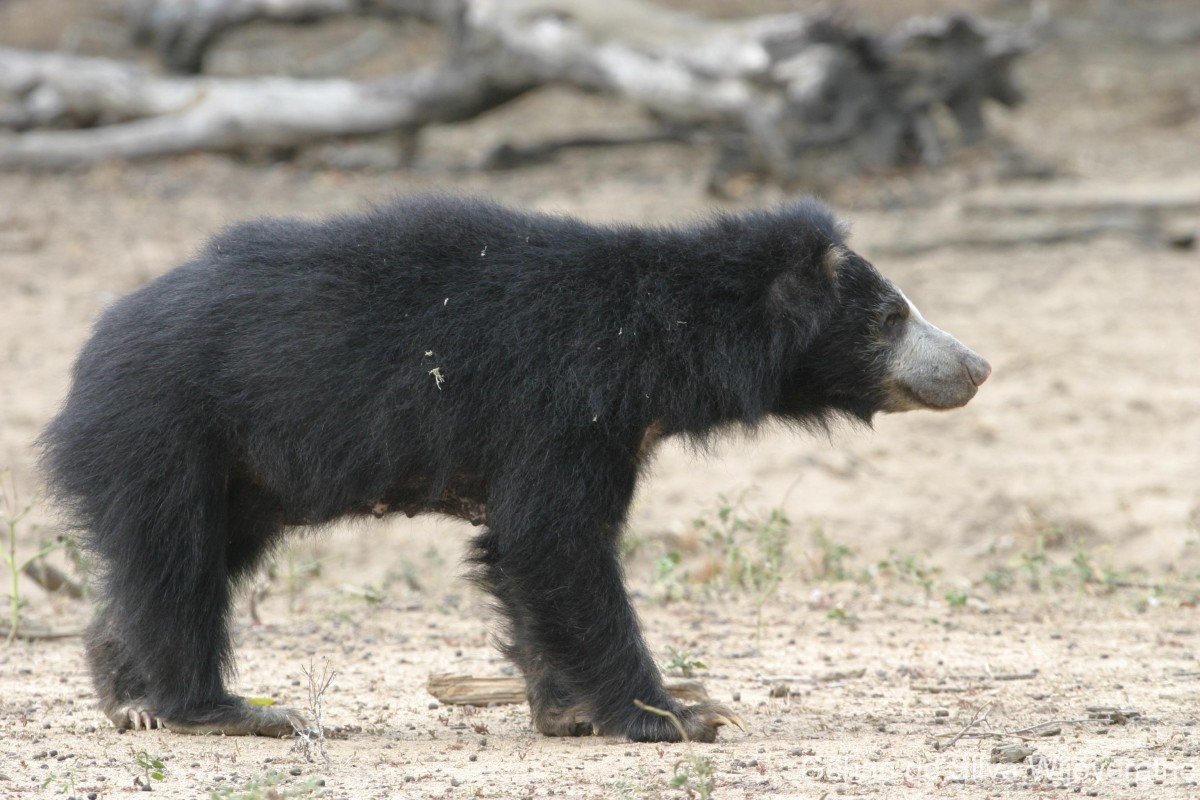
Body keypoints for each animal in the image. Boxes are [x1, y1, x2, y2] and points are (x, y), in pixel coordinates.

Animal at [42, 195, 988, 743]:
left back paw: (127, 697)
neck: (660, 341)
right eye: (893, 315)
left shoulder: (604, 429)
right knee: (175, 565)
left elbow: (531, 559)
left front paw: (567, 713)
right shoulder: (561, 406)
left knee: (177, 565)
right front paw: (681, 715)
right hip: (168, 432)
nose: (977, 366)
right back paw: (218, 712)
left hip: (239, 471)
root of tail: (90, 351)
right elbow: (554, 544)